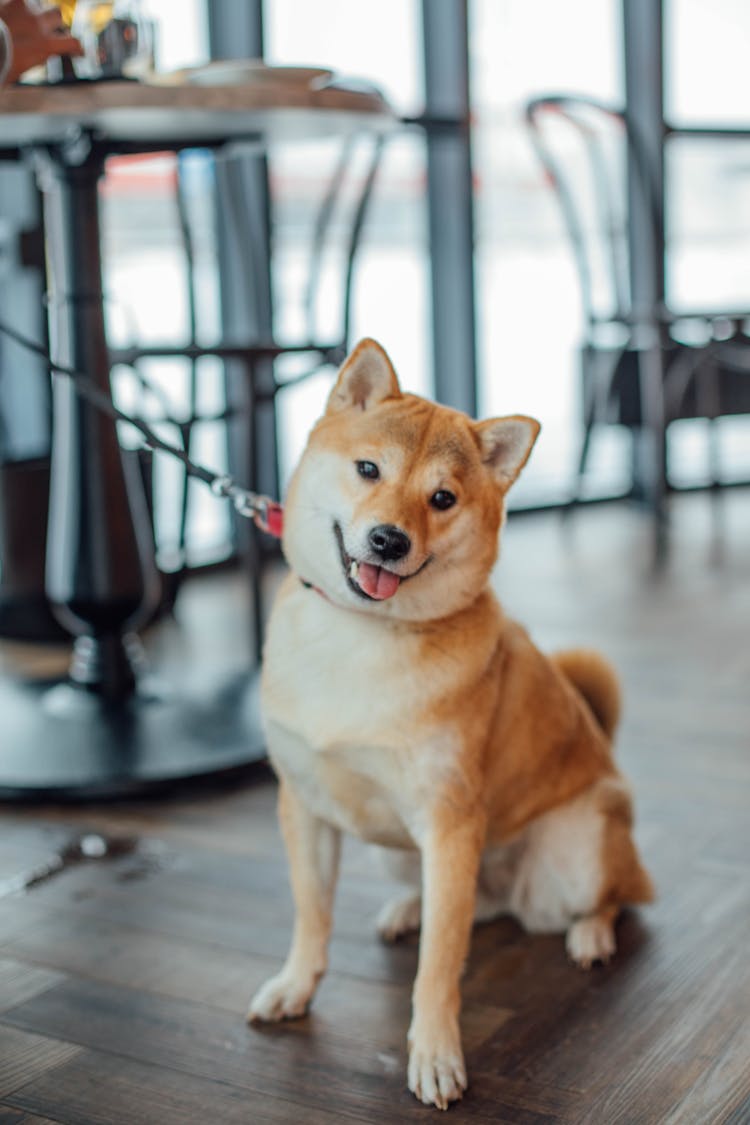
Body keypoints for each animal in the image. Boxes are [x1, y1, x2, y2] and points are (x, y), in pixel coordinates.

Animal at [249, 337, 652, 1111]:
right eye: (368, 469)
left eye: (442, 498)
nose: (388, 539)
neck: (362, 637)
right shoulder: (304, 806)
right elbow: (312, 914)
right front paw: (295, 984)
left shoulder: (449, 824)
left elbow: (439, 967)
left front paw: (434, 1054)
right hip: (404, 853)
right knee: (470, 909)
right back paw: (408, 909)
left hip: (579, 852)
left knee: (613, 896)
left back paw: (591, 935)